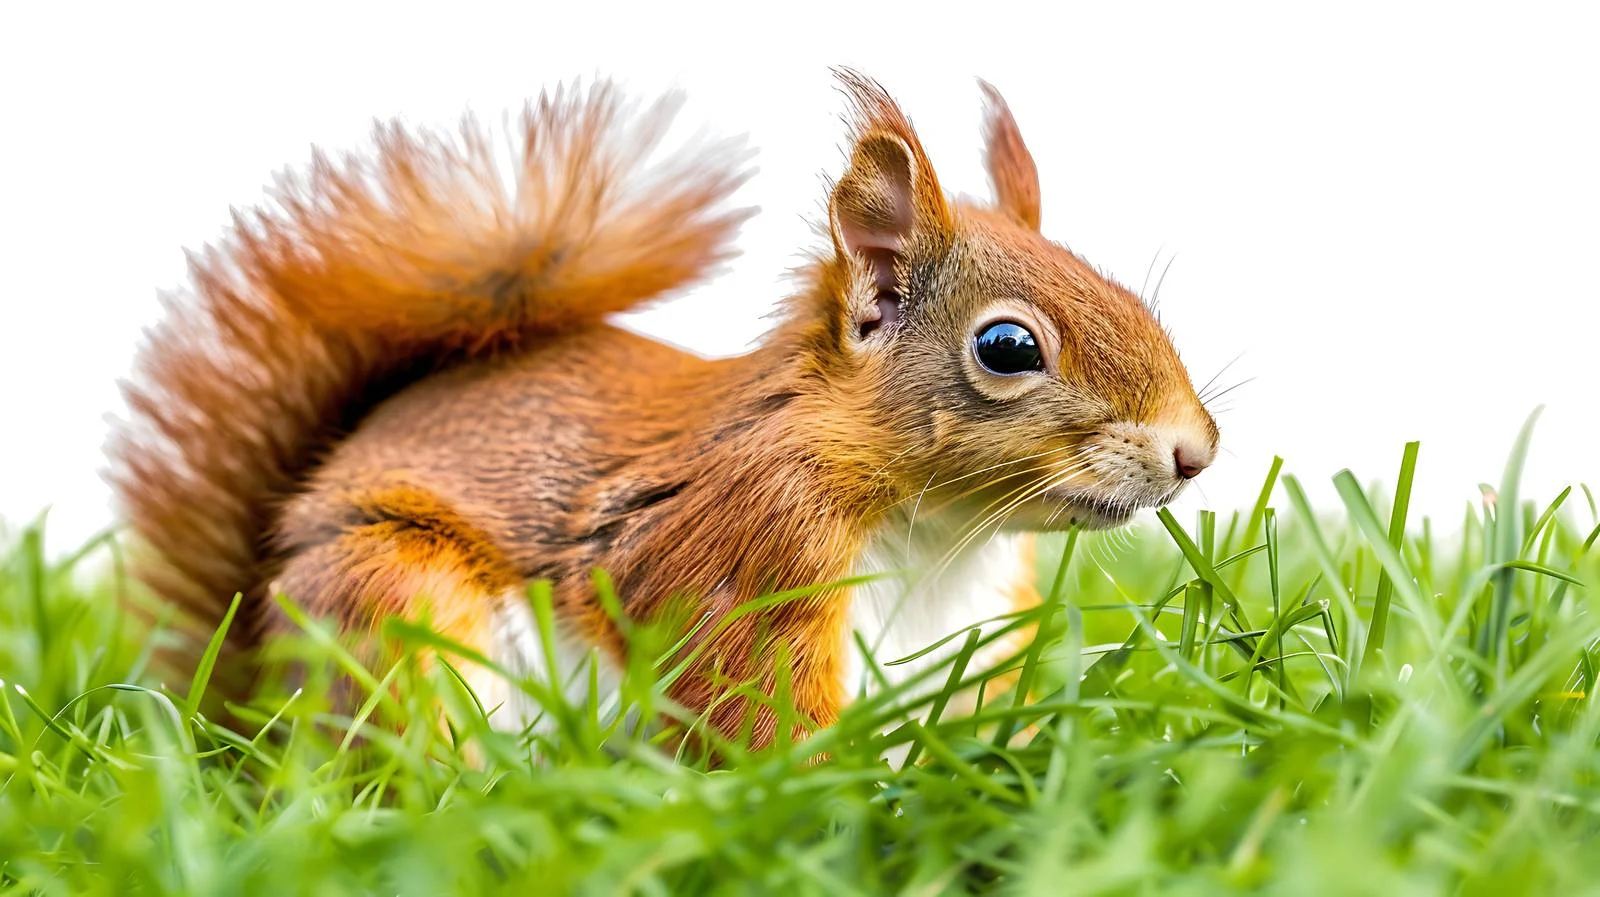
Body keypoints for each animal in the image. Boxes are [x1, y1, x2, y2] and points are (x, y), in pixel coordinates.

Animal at [107, 70, 1219, 750]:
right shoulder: (738, 544)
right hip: (393, 609)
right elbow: (751, 704)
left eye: (1123, 288)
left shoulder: (981, 629)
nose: (1196, 453)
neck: (940, 534)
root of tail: (248, 709)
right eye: (1007, 349)